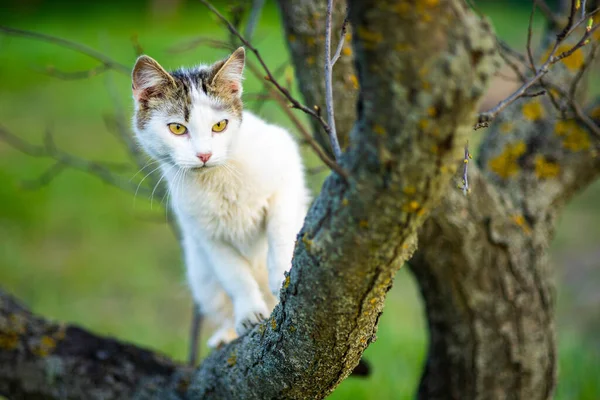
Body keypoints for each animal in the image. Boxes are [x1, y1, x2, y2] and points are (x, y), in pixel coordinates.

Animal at [131, 46, 310, 346]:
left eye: (220, 126)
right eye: (177, 128)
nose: (204, 155)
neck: (217, 178)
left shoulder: (285, 174)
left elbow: (280, 233)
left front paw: (281, 275)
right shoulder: (206, 235)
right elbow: (235, 275)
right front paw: (249, 312)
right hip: (202, 279)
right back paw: (226, 334)